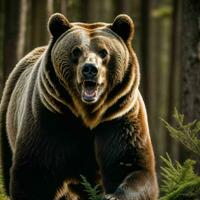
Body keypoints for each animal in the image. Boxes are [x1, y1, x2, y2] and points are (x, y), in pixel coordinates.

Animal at [0, 13, 159, 199]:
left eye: (104, 52)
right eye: (75, 51)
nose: (90, 69)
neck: (88, 114)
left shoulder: (119, 118)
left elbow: (132, 166)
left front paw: (112, 195)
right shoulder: (49, 118)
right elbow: (34, 174)